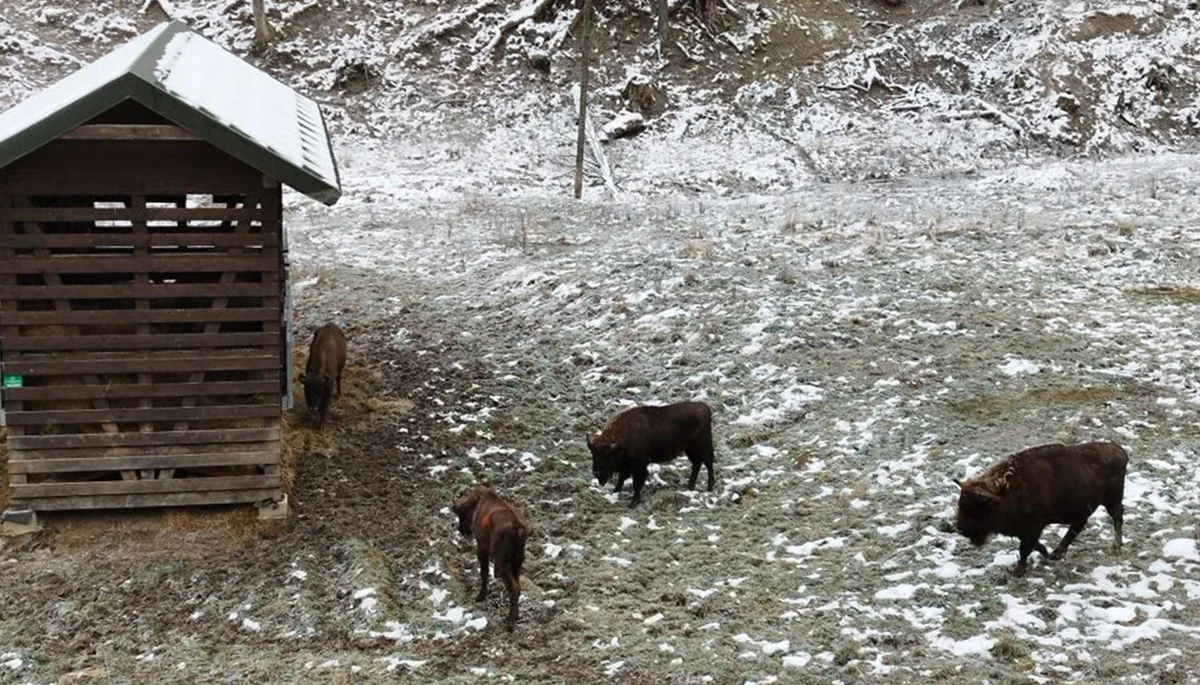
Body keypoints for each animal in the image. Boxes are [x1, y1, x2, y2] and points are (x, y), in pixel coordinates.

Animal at [451, 484, 532, 633]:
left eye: (462, 514)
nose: (462, 530)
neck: (478, 502)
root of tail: (518, 528)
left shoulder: (482, 548)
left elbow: (484, 573)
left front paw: (480, 596)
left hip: (502, 563)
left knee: (514, 588)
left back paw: (510, 625)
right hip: (517, 562)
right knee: (518, 586)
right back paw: (516, 616)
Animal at [950, 439, 1128, 578]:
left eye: (977, 507)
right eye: (961, 503)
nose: (961, 528)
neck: (1005, 492)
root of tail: (1120, 451)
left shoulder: (1033, 526)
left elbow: (1025, 548)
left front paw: (1018, 571)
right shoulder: (1023, 529)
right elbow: (1032, 544)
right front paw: (1045, 553)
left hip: (1112, 500)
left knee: (1117, 518)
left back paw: (1116, 548)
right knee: (1079, 525)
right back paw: (1056, 553)